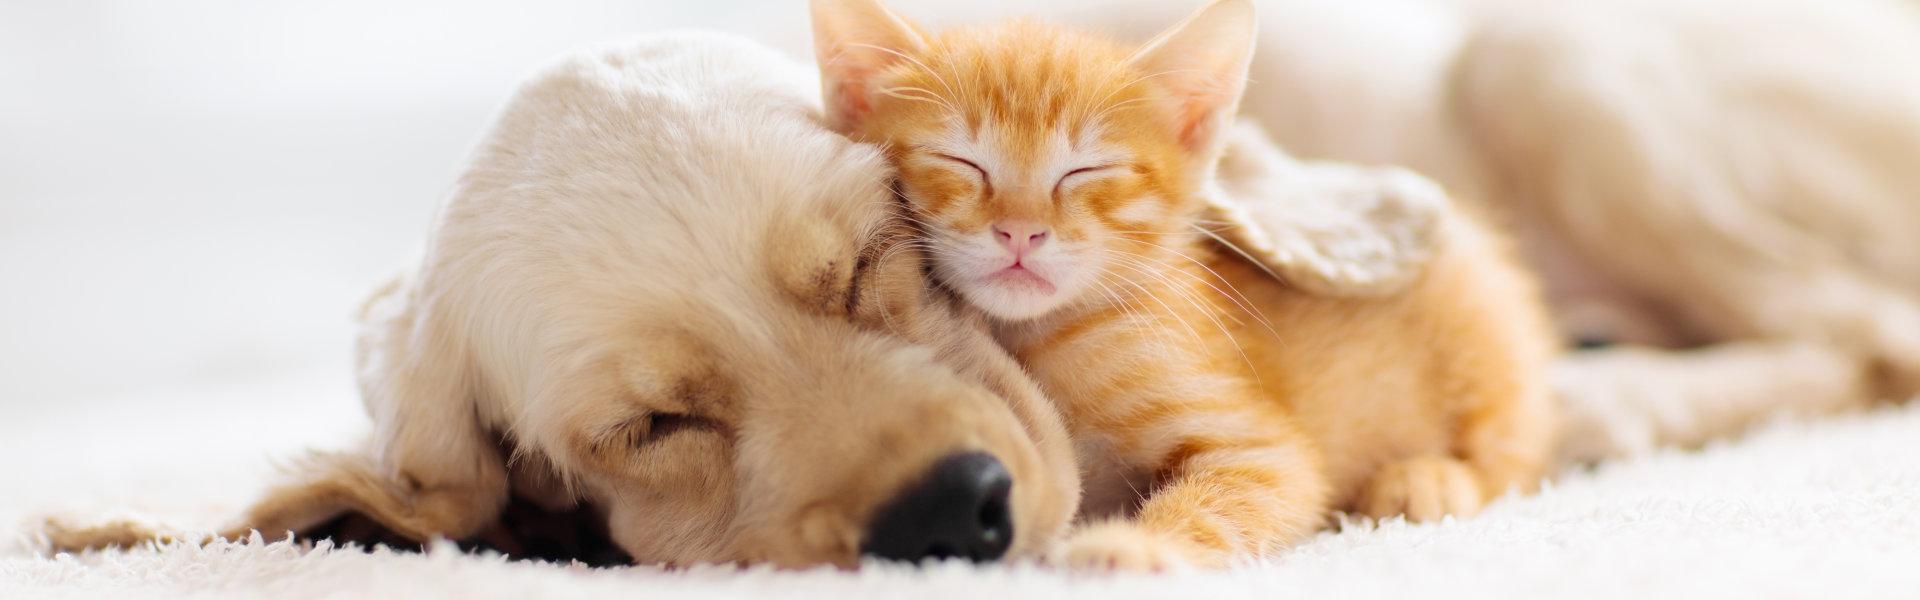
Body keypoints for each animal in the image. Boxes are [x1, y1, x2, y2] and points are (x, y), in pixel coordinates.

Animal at [810, 0, 1559, 569]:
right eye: (961, 161)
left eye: (1085, 171)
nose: (1020, 232)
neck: (1038, 339)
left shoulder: (1261, 449)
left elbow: (1231, 496)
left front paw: (1132, 548)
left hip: (1483, 331)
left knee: (1515, 451)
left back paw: (1431, 478)